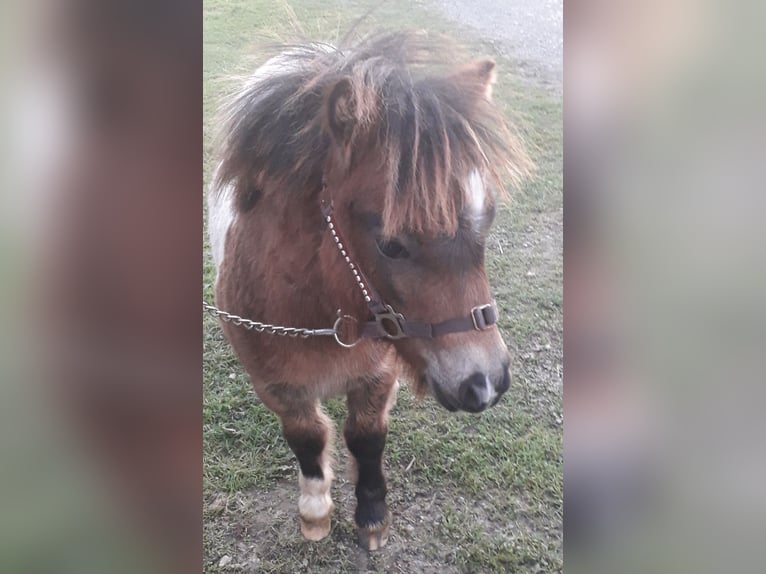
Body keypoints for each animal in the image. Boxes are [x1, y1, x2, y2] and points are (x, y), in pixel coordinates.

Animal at [210, 32, 536, 552]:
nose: (486, 382)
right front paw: (315, 513)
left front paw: (372, 516)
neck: (323, 315)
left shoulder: (378, 374)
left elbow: (366, 438)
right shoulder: (276, 384)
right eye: (390, 244)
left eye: (488, 219)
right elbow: (306, 437)